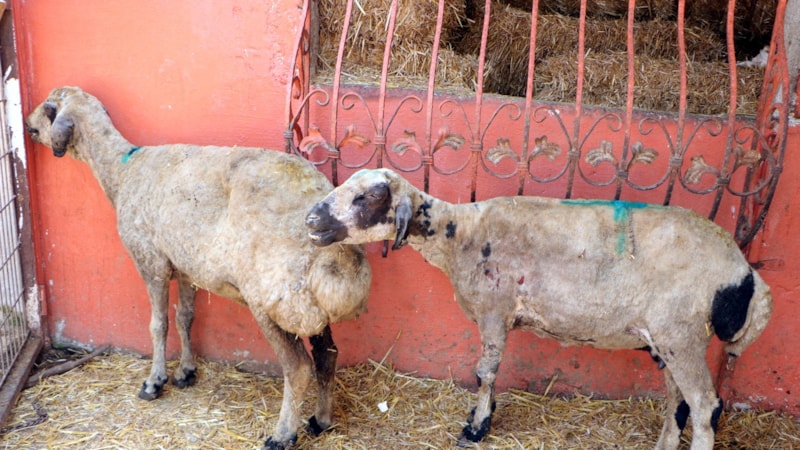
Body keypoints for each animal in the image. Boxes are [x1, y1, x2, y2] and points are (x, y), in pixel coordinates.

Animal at [25, 86, 372, 450]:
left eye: (49, 110)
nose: (27, 125)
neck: (123, 172)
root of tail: (343, 255)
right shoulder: (186, 266)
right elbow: (185, 318)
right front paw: (186, 371)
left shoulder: (151, 261)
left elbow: (158, 324)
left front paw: (154, 381)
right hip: (310, 308)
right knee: (327, 356)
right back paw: (321, 420)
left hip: (274, 300)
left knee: (298, 368)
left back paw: (282, 434)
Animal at [305, 167, 773, 450]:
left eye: (367, 196)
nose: (311, 219)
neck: (459, 235)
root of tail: (747, 275)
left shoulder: (494, 311)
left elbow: (485, 372)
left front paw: (476, 427)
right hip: (670, 339)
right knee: (680, 403)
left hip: (682, 333)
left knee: (705, 406)